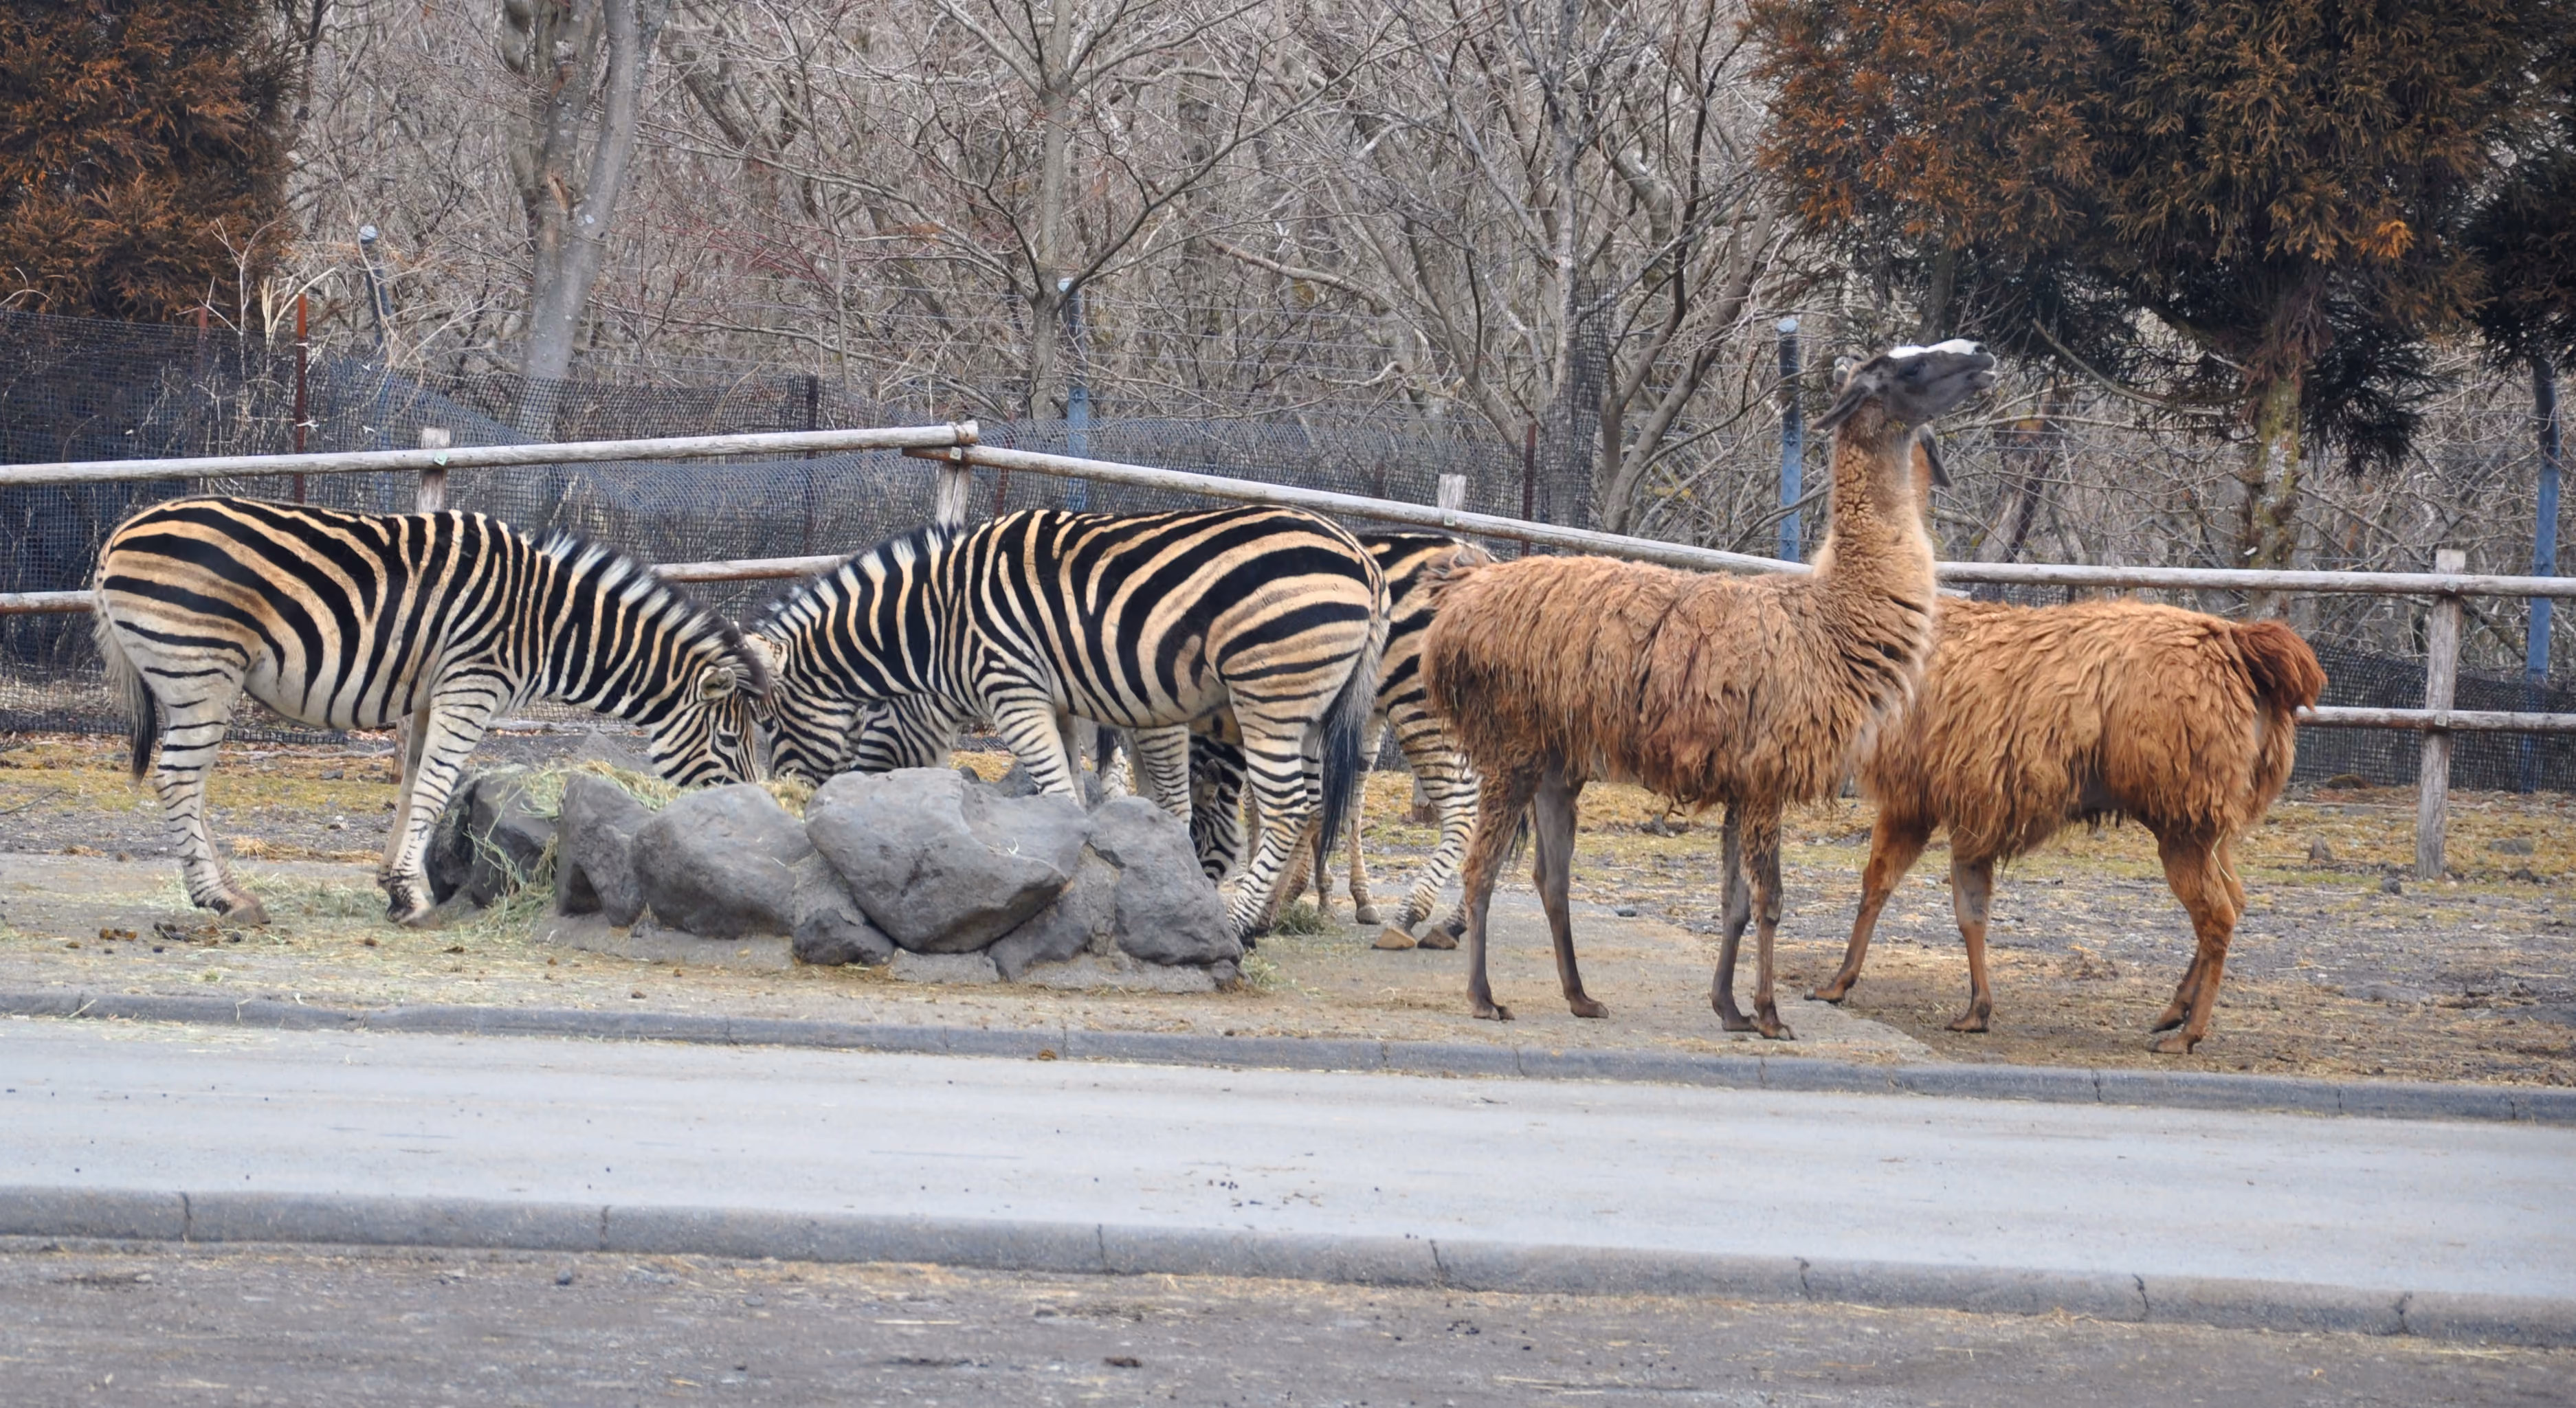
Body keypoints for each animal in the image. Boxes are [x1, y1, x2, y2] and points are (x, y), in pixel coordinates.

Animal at [92, 496, 768, 926]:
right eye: (731, 741)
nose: (751, 806)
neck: (551, 625)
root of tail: (118, 535)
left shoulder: (428, 694)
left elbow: (414, 781)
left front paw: (396, 887)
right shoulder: (472, 684)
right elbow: (438, 785)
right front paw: (414, 898)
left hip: (195, 678)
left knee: (187, 781)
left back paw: (228, 891)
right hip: (203, 671)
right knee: (181, 780)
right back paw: (223, 899)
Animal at [755, 506, 1386, 937]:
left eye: (770, 727)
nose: (797, 799)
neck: (940, 616)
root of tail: (1365, 561)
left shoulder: (1014, 689)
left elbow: (1062, 791)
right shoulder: (1059, 702)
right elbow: (1075, 799)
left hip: (1270, 695)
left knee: (1287, 809)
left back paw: (1238, 922)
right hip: (1312, 712)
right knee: (1309, 805)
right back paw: (1258, 918)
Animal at [1186, 533, 1490, 947]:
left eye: (1195, 840)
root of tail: (1475, 557)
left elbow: (1287, 805)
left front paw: (1276, 900)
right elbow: (1322, 805)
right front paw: (1318, 895)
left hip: (1419, 706)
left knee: (1462, 807)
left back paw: (1409, 916)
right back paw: (1454, 920)